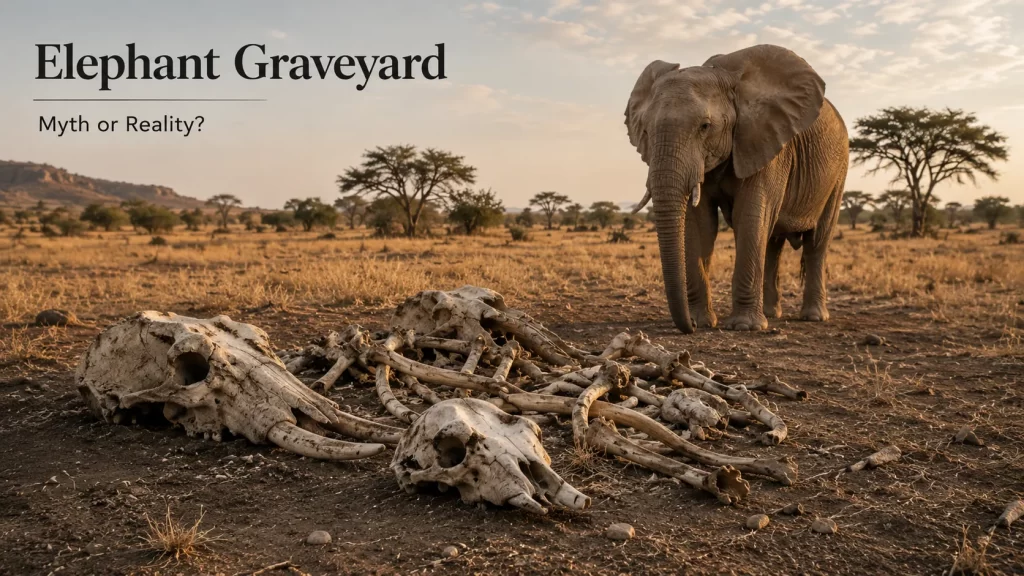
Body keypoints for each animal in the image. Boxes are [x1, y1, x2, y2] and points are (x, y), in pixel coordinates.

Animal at [624, 44, 848, 333]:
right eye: (645, 131)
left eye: (705, 127)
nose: (688, 327)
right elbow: (700, 223)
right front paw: (702, 321)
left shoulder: (764, 141)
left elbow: (749, 216)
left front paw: (744, 326)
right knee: (773, 243)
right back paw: (771, 313)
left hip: (838, 172)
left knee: (817, 242)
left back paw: (813, 317)